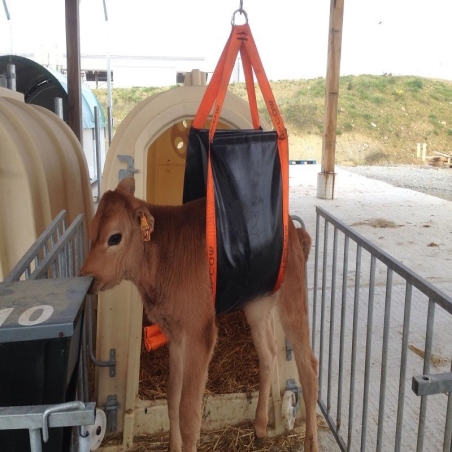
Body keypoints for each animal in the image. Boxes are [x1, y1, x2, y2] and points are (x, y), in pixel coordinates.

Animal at [80, 177, 318, 452]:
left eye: (115, 237)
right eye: (92, 230)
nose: (87, 278)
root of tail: (294, 226)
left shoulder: (199, 333)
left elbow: (188, 412)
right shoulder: (175, 334)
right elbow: (173, 398)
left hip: (292, 297)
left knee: (309, 367)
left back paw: (311, 442)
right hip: (257, 304)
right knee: (268, 353)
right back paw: (259, 426)